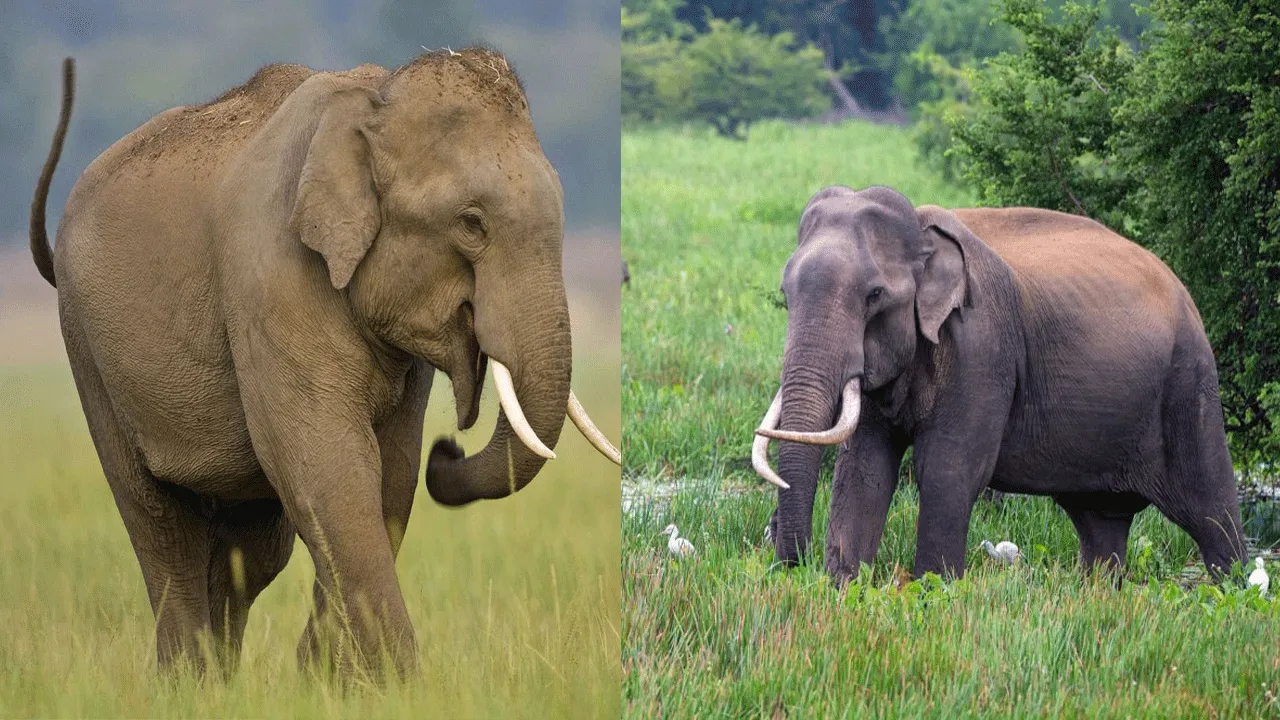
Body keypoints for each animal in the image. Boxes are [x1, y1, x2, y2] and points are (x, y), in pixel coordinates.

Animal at [27, 51, 620, 679]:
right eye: (471, 222)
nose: (448, 450)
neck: (373, 103)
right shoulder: (272, 276)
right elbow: (330, 465)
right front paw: (393, 682)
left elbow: (389, 476)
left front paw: (326, 675)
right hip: (87, 350)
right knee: (161, 526)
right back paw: (189, 682)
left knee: (251, 551)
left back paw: (220, 683)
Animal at [751, 185, 1246, 584]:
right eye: (786, 293)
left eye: (875, 295)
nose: (792, 564)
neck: (922, 232)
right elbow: (864, 469)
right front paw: (845, 588)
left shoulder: (983, 347)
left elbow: (948, 468)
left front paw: (934, 591)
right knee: (1100, 523)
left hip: (1189, 382)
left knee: (1212, 511)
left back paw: (1234, 590)